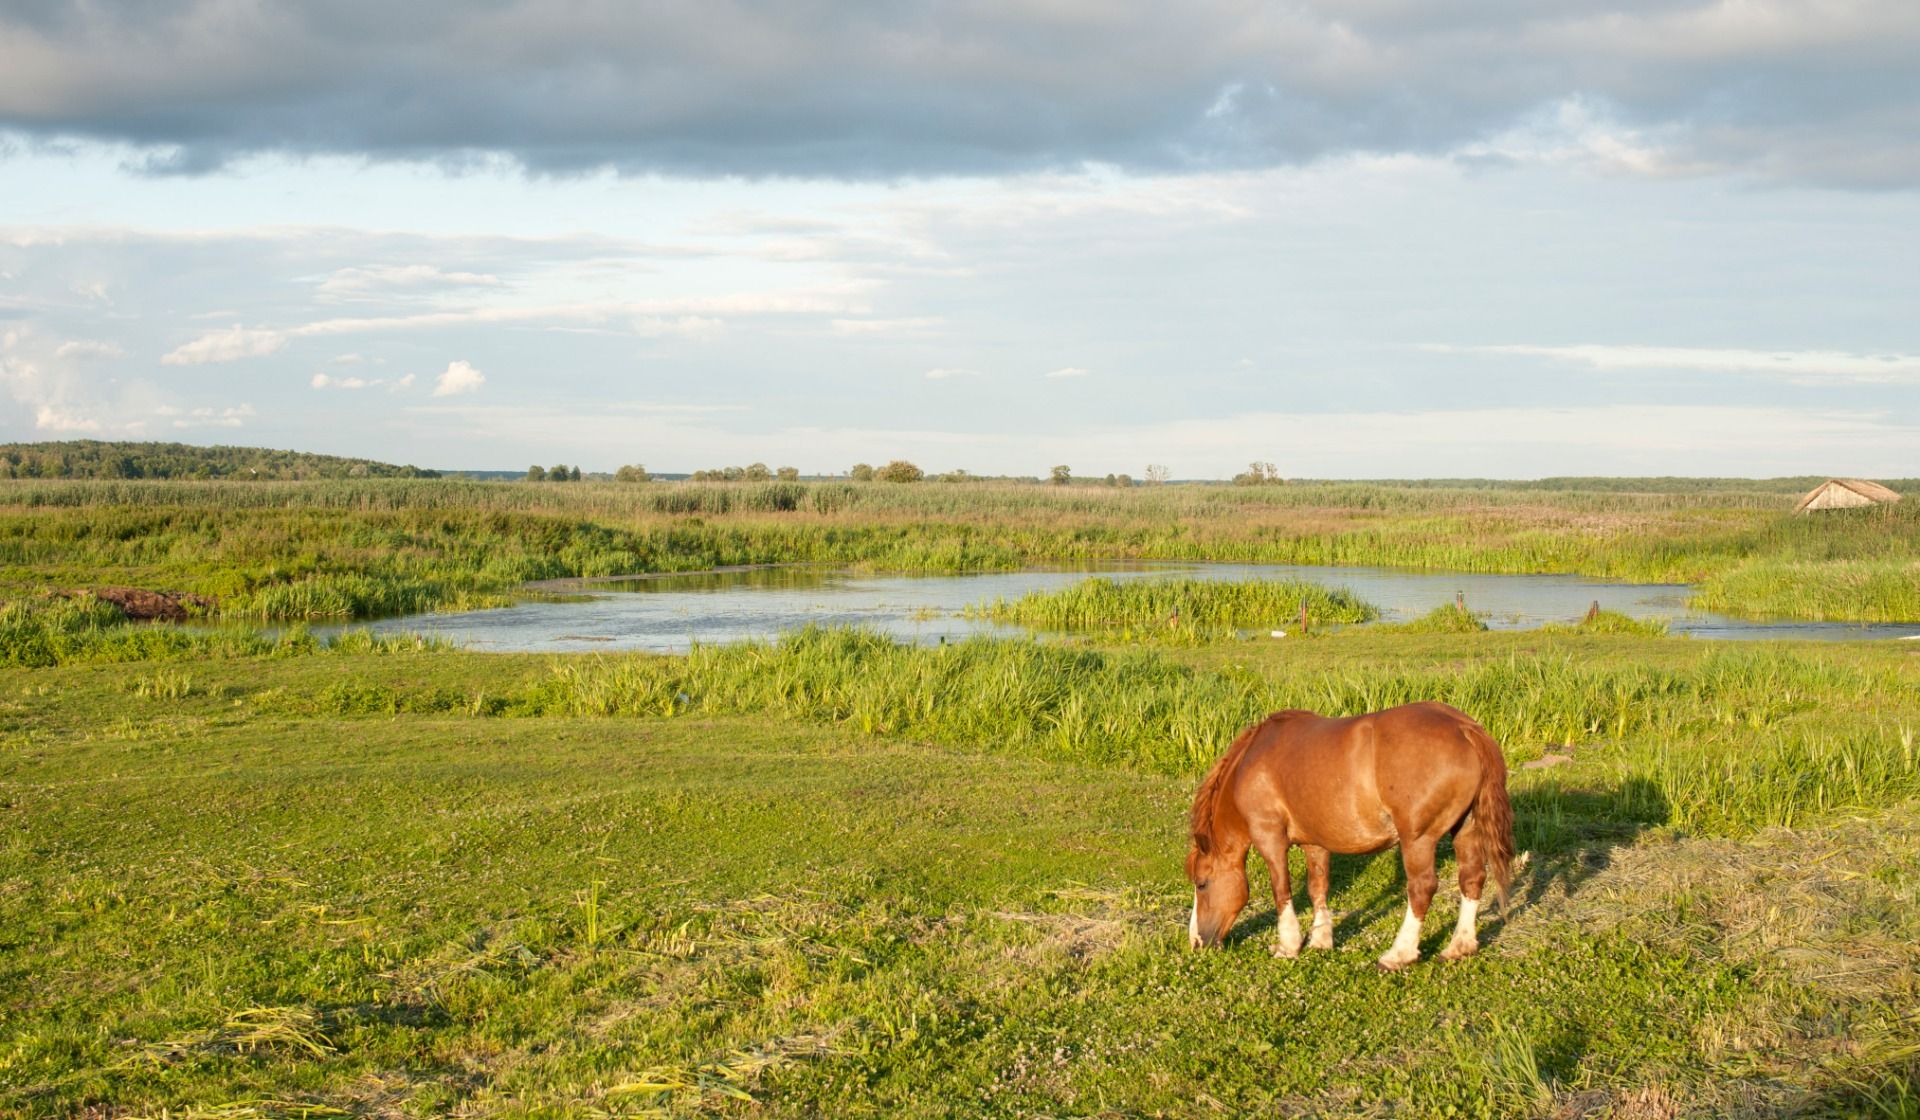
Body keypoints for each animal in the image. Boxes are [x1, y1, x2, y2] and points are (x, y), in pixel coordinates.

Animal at [1182, 706, 1512, 968]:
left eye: (1202, 883)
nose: (1196, 942)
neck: (1253, 761)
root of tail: (1464, 727)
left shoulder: (1269, 837)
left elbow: (1282, 890)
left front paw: (1288, 946)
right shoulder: (1314, 842)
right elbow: (1317, 887)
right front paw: (1321, 940)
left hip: (1418, 839)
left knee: (1422, 888)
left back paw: (1399, 954)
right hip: (1466, 828)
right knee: (1472, 879)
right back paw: (1459, 947)